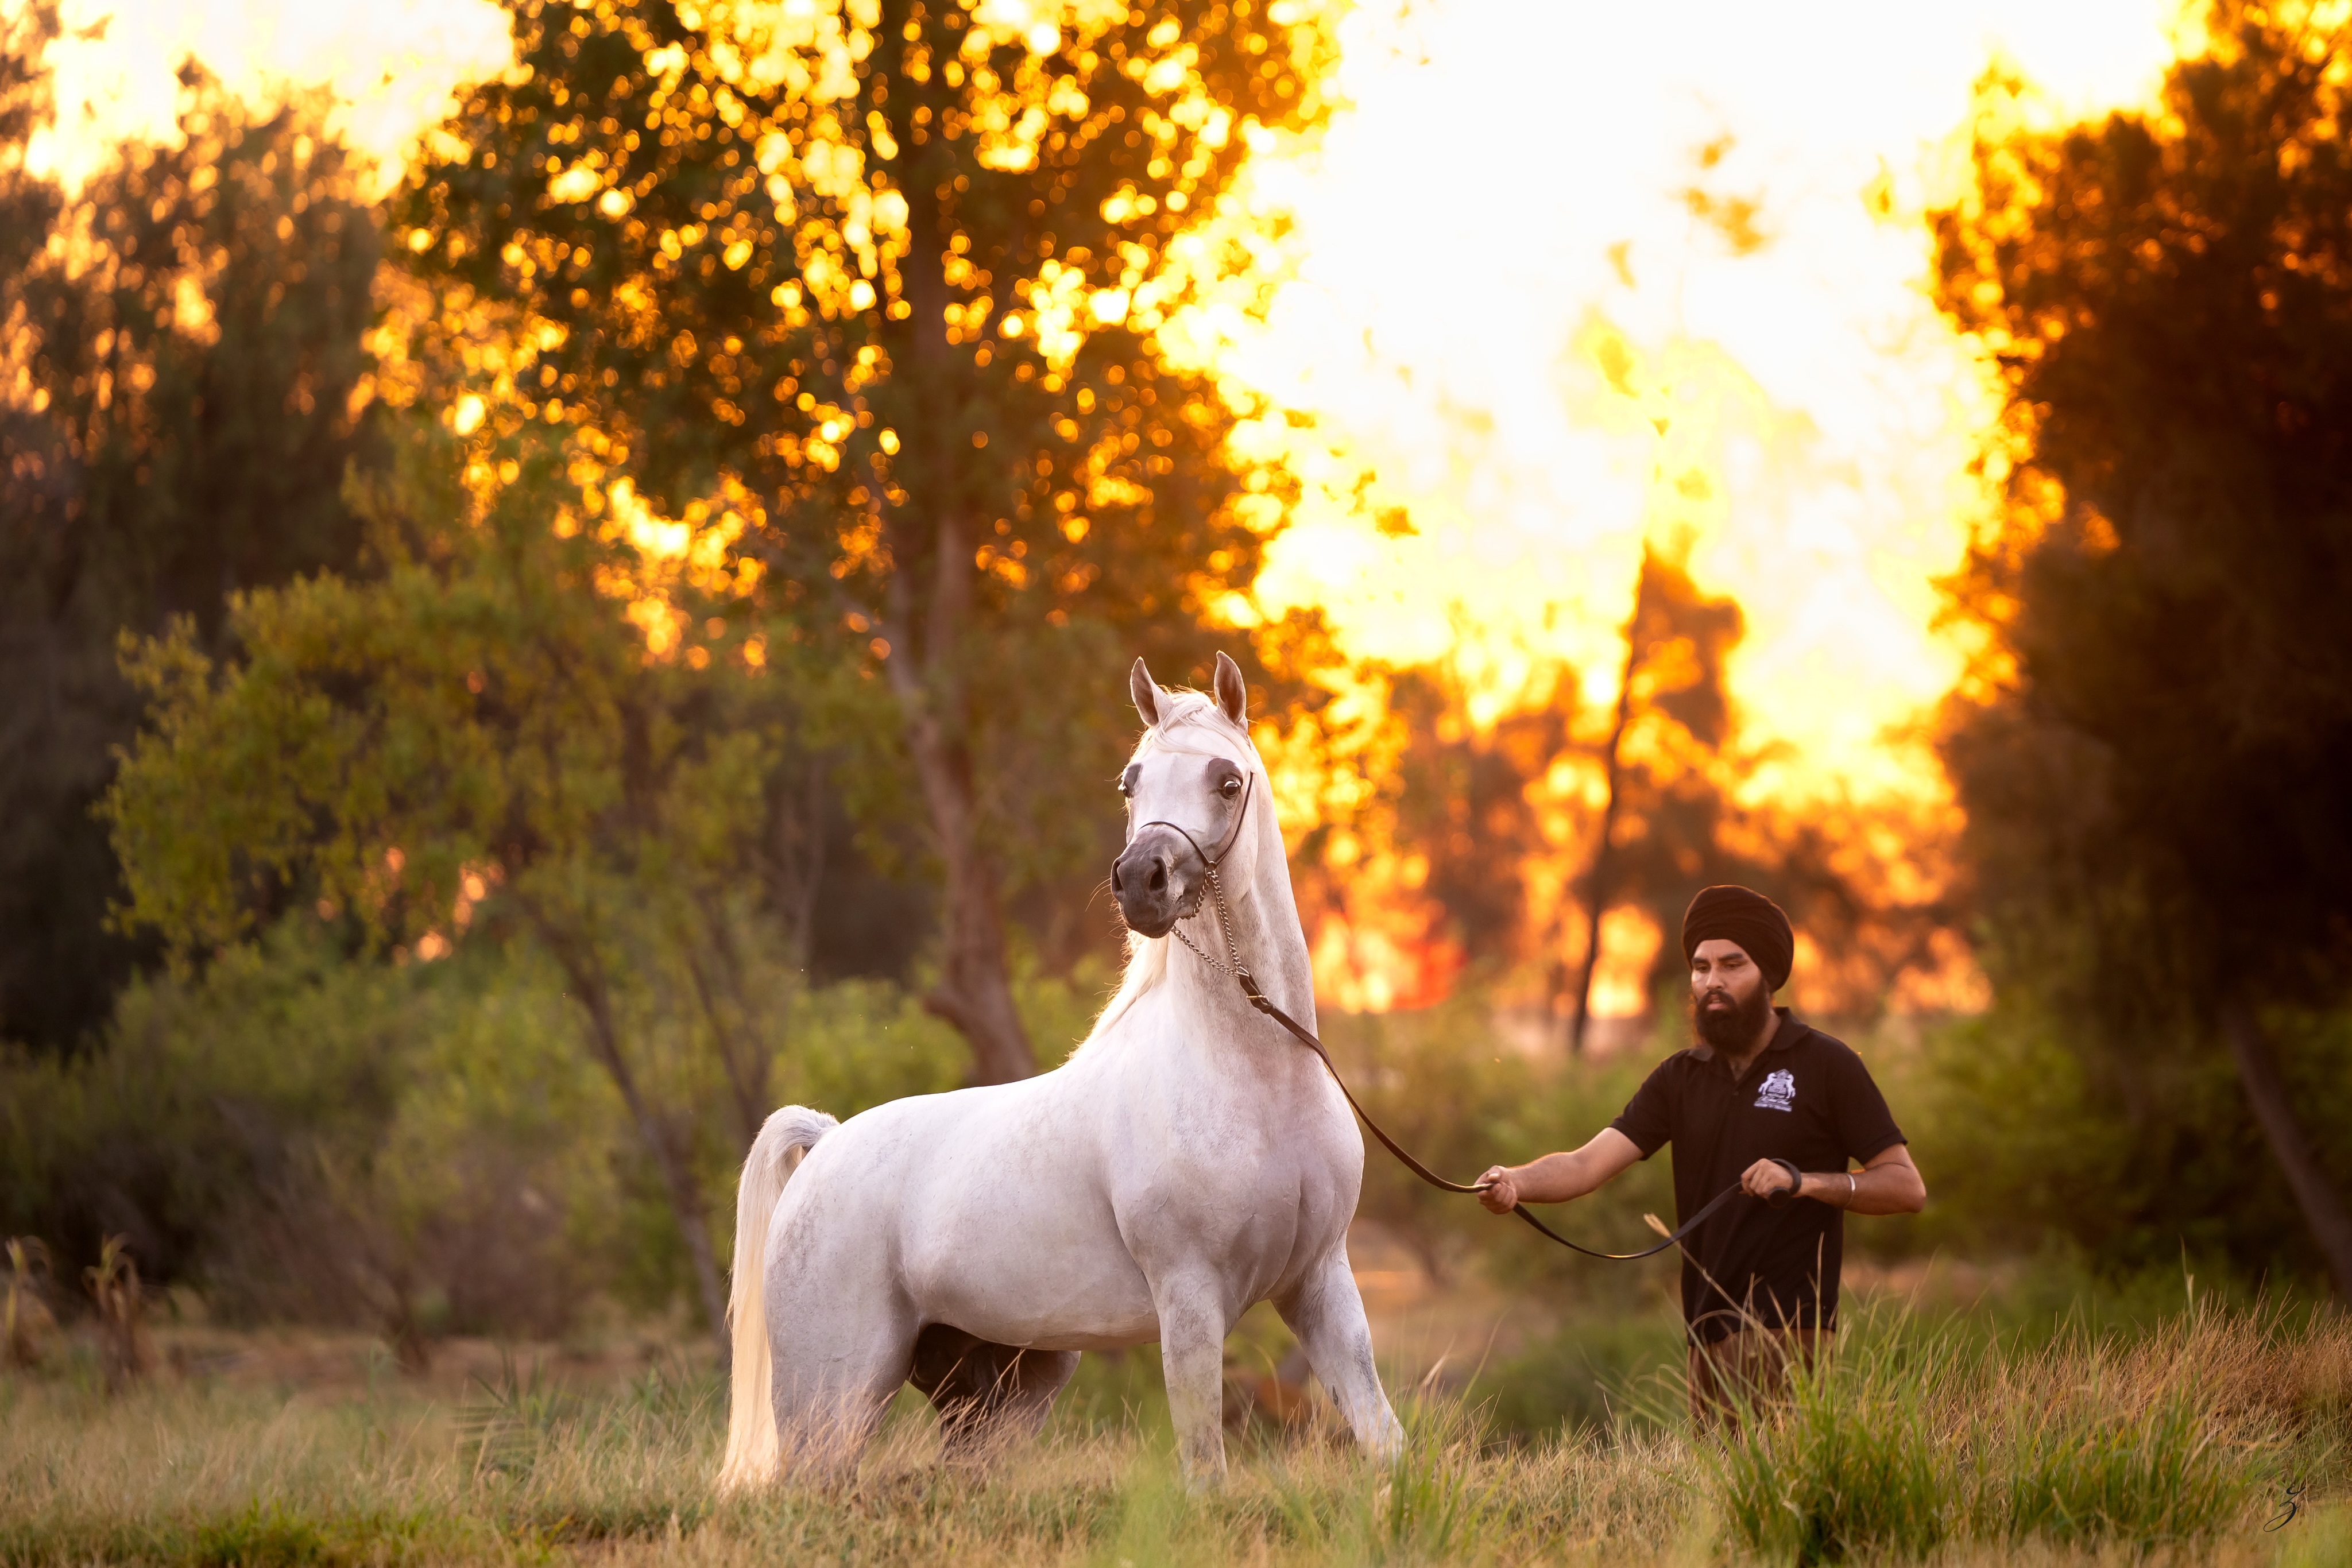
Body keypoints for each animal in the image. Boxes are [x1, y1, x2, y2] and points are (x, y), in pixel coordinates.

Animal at [717, 652, 1404, 1490]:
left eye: (1226, 780)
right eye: (1130, 782)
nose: (1140, 880)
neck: (1257, 1081)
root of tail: (825, 1141)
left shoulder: (1320, 1283)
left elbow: (1386, 1441)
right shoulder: (1190, 1298)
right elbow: (1206, 1469)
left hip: (1000, 1394)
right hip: (833, 1403)